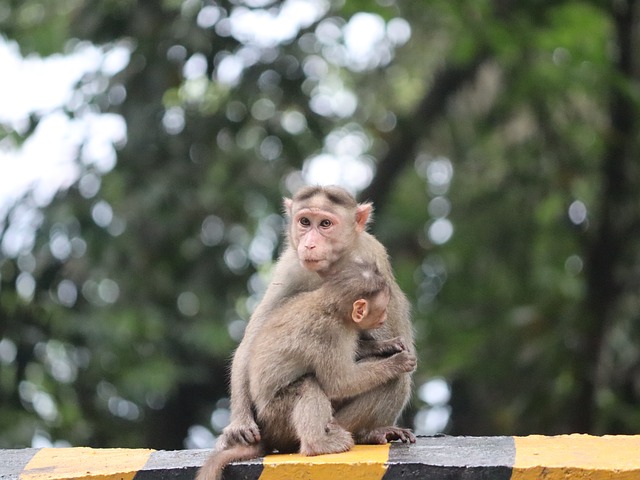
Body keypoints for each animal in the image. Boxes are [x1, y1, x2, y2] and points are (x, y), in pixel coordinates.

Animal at [198, 262, 418, 480]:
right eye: (382, 309)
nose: (385, 316)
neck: (332, 306)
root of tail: (267, 434)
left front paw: (386, 345)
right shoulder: (329, 333)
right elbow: (340, 382)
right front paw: (397, 362)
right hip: (277, 419)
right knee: (308, 384)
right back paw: (320, 444)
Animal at [216, 185, 416, 450]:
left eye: (325, 224)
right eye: (304, 222)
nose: (309, 244)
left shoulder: (375, 257)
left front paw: (385, 345)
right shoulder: (290, 267)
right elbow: (254, 340)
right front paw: (239, 422)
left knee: (396, 380)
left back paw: (367, 433)